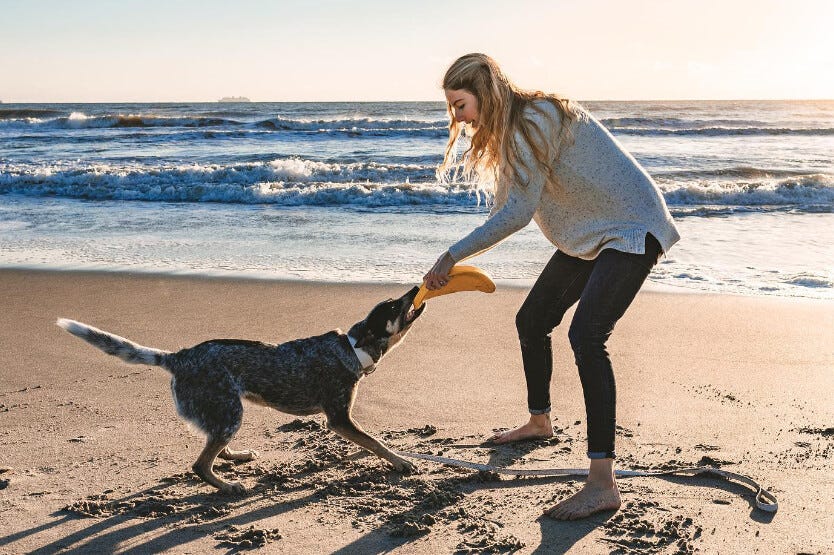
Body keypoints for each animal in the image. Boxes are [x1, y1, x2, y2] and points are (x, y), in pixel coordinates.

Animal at [55, 286, 426, 496]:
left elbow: (369, 439)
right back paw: (228, 485)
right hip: (230, 411)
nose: (414, 287)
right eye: (395, 306)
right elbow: (375, 442)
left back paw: (234, 457)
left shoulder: (345, 421)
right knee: (200, 465)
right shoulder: (338, 419)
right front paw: (400, 462)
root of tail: (178, 357)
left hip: (225, 413)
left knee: (214, 448)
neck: (352, 348)